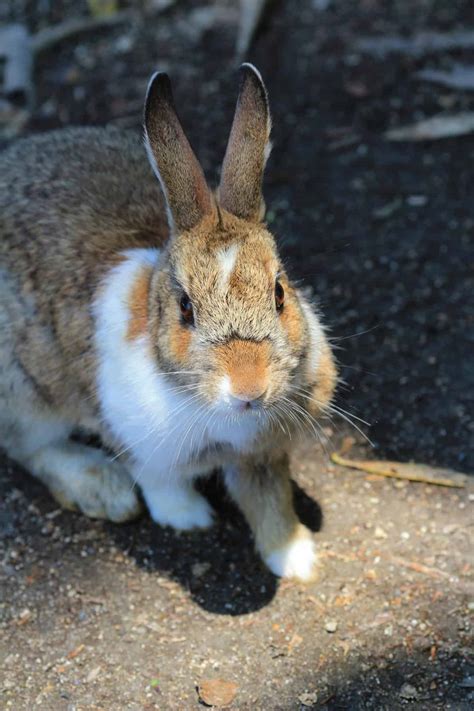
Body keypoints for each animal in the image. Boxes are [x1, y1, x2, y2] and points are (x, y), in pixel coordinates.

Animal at [0, 64, 336, 580]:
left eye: (280, 293)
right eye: (185, 308)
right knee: (29, 446)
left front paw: (295, 558)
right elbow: (160, 483)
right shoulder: (138, 442)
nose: (249, 388)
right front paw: (189, 518)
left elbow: (269, 499)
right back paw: (103, 488)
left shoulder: (262, 455)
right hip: (23, 392)